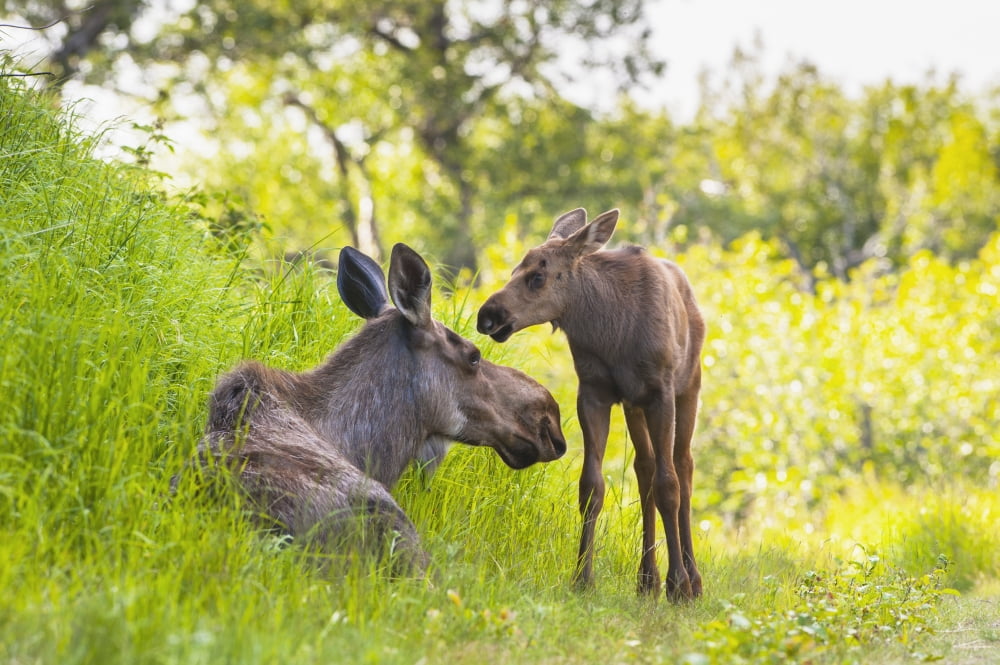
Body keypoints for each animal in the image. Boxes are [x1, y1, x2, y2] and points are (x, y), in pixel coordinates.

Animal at [477, 208, 705, 600]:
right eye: (514, 270)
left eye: (537, 276)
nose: (487, 315)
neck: (612, 331)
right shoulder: (595, 392)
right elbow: (592, 486)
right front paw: (582, 578)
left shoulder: (660, 392)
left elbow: (670, 485)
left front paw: (678, 585)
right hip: (633, 405)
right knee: (644, 469)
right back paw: (647, 578)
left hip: (689, 387)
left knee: (683, 467)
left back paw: (693, 579)